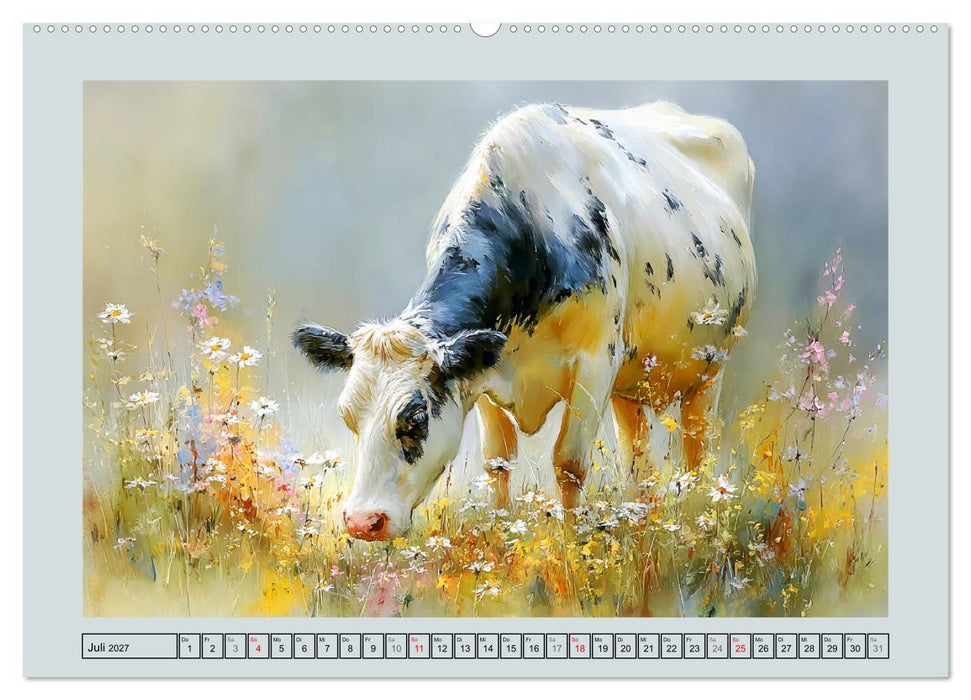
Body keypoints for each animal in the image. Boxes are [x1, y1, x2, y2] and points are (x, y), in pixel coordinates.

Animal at [293, 102, 756, 541]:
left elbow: (569, 463)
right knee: (636, 457)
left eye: (417, 418)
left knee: (696, 449)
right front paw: (501, 534)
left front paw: (571, 544)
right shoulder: (483, 372)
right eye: (347, 415)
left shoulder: (595, 363)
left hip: (710, 369)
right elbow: (497, 464)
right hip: (632, 377)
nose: (361, 522)